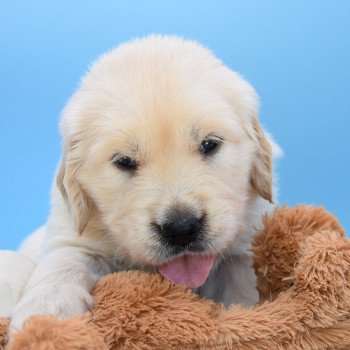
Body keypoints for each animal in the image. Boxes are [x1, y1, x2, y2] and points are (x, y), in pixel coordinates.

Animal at [10, 34, 278, 330]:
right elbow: (63, 260)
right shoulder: (72, 233)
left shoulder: (247, 238)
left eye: (209, 144)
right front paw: (45, 314)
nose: (181, 228)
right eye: (124, 161)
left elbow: (240, 281)